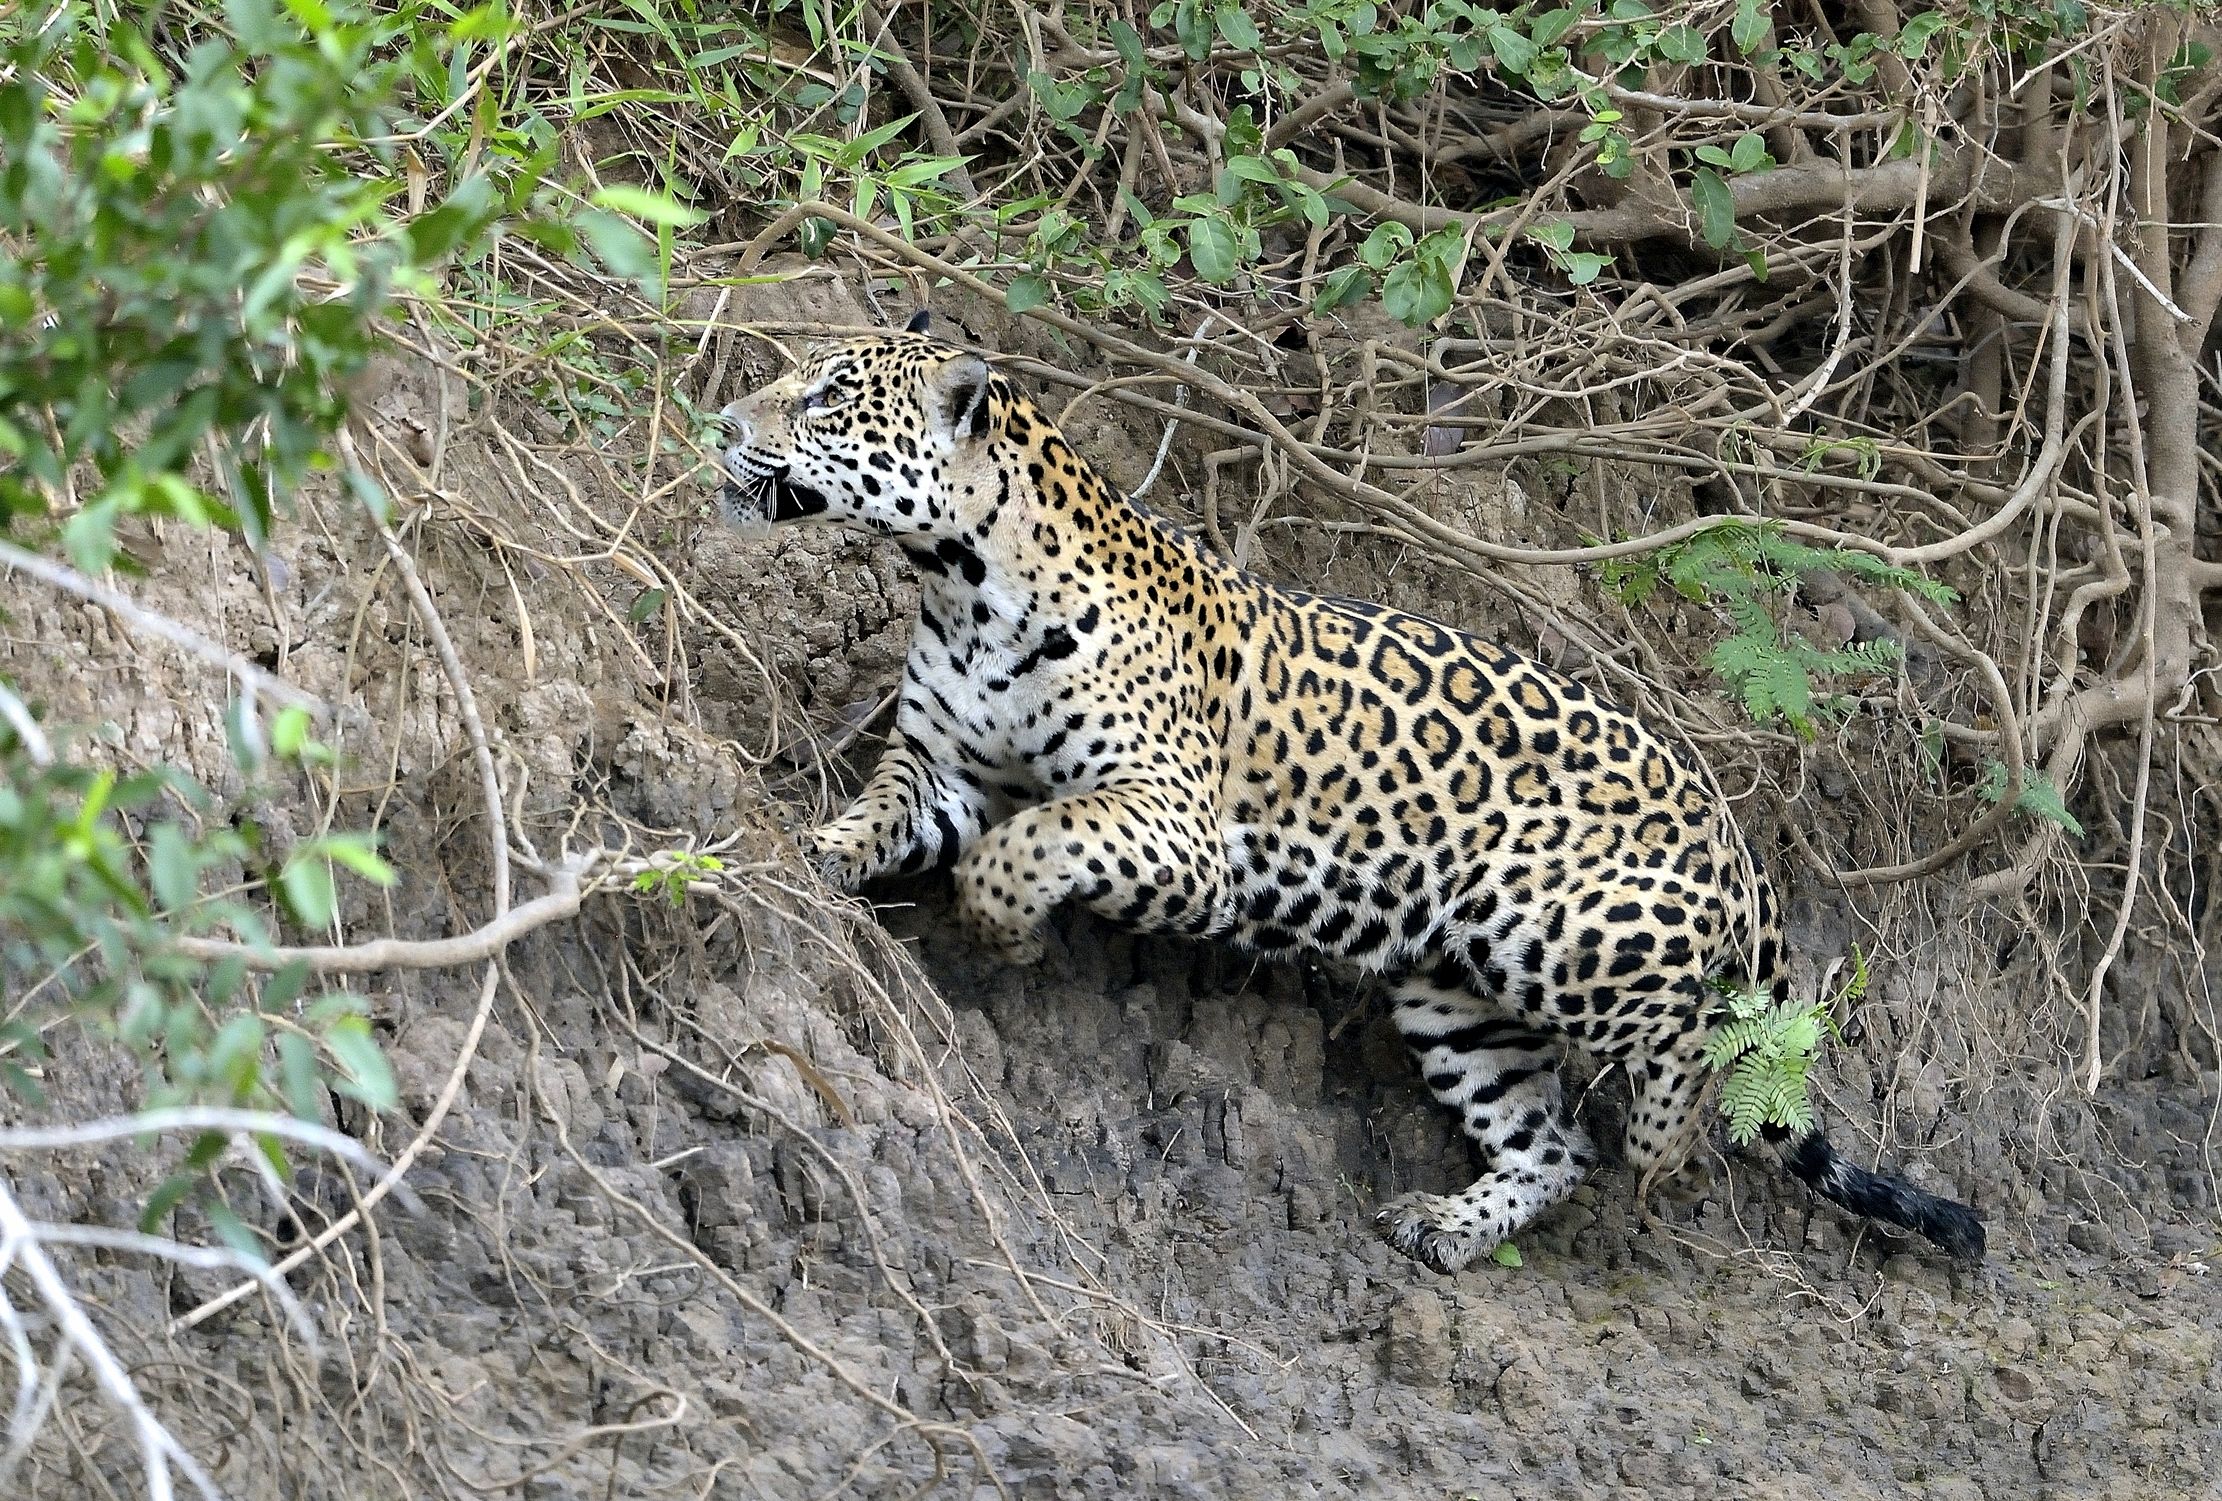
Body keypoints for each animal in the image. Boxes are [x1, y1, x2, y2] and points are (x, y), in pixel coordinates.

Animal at [715, 311, 1986, 1274]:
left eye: (826, 396)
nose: (723, 424)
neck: (964, 584)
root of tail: (1731, 831)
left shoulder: (1175, 827)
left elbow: (1028, 842)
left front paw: (1005, 929)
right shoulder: (940, 767)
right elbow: (882, 815)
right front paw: (803, 853)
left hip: (1551, 926)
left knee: (1676, 1053)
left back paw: (1660, 1142)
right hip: (1459, 994)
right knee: (1549, 1146)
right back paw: (1450, 1226)